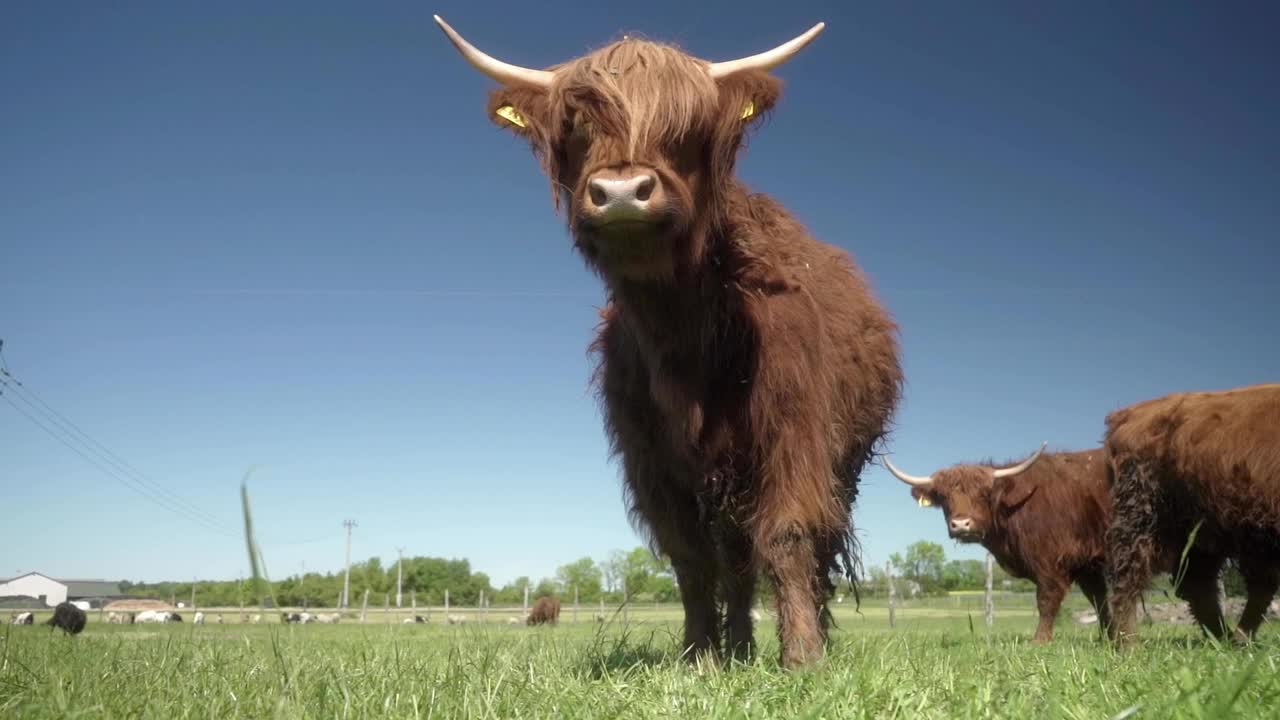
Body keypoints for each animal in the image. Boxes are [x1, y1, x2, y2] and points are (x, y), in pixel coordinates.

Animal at [435, 16, 906, 666]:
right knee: (735, 558)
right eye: (578, 127)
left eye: (686, 129)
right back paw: (738, 648)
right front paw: (699, 655)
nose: (622, 191)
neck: (685, 337)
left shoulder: (796, 432)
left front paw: (803, 657)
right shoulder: (649, 457)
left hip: (844, 463)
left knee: (816, 548)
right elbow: (690, 558)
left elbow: (789, 534)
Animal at [890, 440, 1111, 640]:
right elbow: (1099, 600)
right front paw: (1107, 639)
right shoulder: (1086, 566)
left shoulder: (1051, 561)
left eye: (983, 494)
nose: (961, 524)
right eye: (943, 497)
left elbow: (1047, 599)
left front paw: (1039, 640)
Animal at [1100, 381, 1280, 645]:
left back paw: (1227, 639)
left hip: (1210, 527)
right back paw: (1128, 644)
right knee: (1128, 577)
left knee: (1205, 584)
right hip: (1142, 514)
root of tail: (1130, 412)